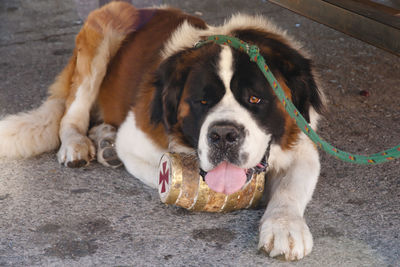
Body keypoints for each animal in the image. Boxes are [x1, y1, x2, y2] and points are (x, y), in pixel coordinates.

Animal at [0, 1, 324, 262]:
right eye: (202, 101)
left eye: (255, 99)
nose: (223, 135)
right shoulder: (136, 140)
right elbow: (166, 174)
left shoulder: (303, 146)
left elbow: (289, 190)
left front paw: (284, 228)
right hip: (103, 31)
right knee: (71, 115)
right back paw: (77, 144)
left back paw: (104, 139)